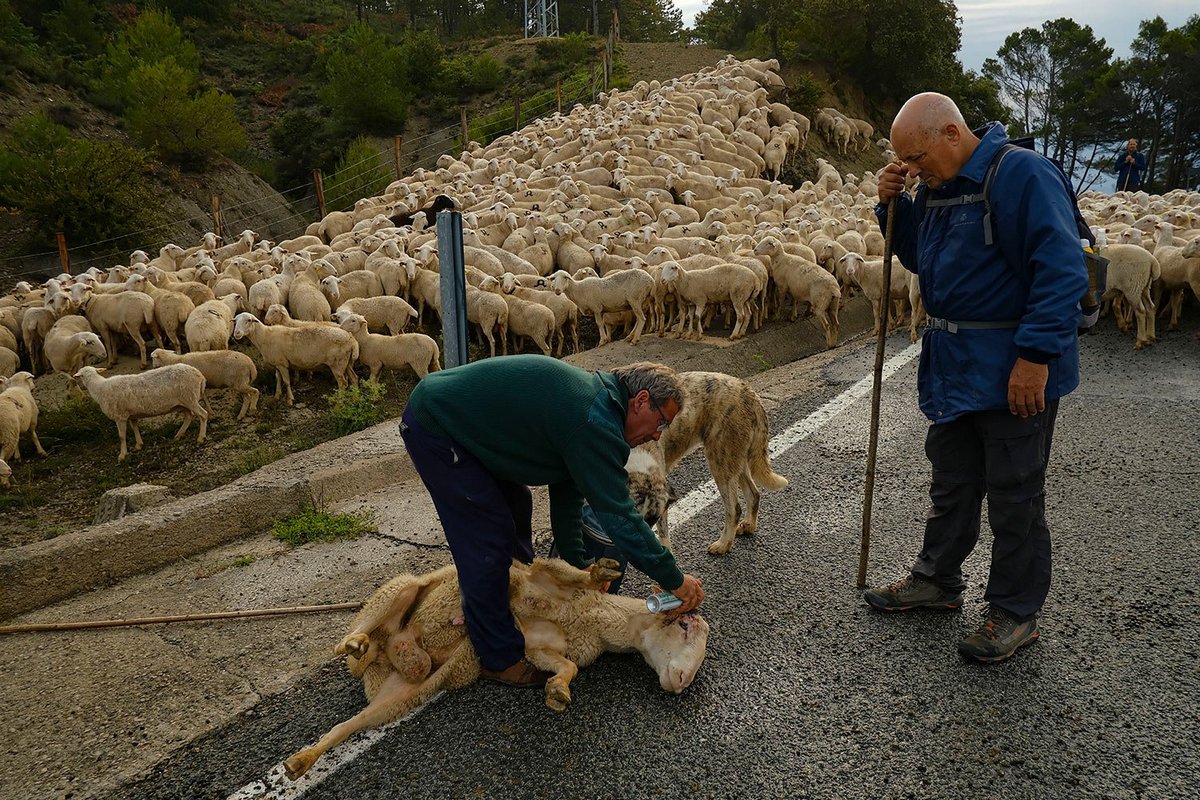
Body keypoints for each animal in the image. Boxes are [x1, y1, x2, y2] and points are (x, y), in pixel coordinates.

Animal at [628, 371, 787, 554]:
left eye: (652, 519)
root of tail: (750, 393)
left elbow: (663, 535)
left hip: (720, 461)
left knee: (734, 509)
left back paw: (723, 544)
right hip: (736, 460)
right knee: (754, 494)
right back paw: (749, 526)